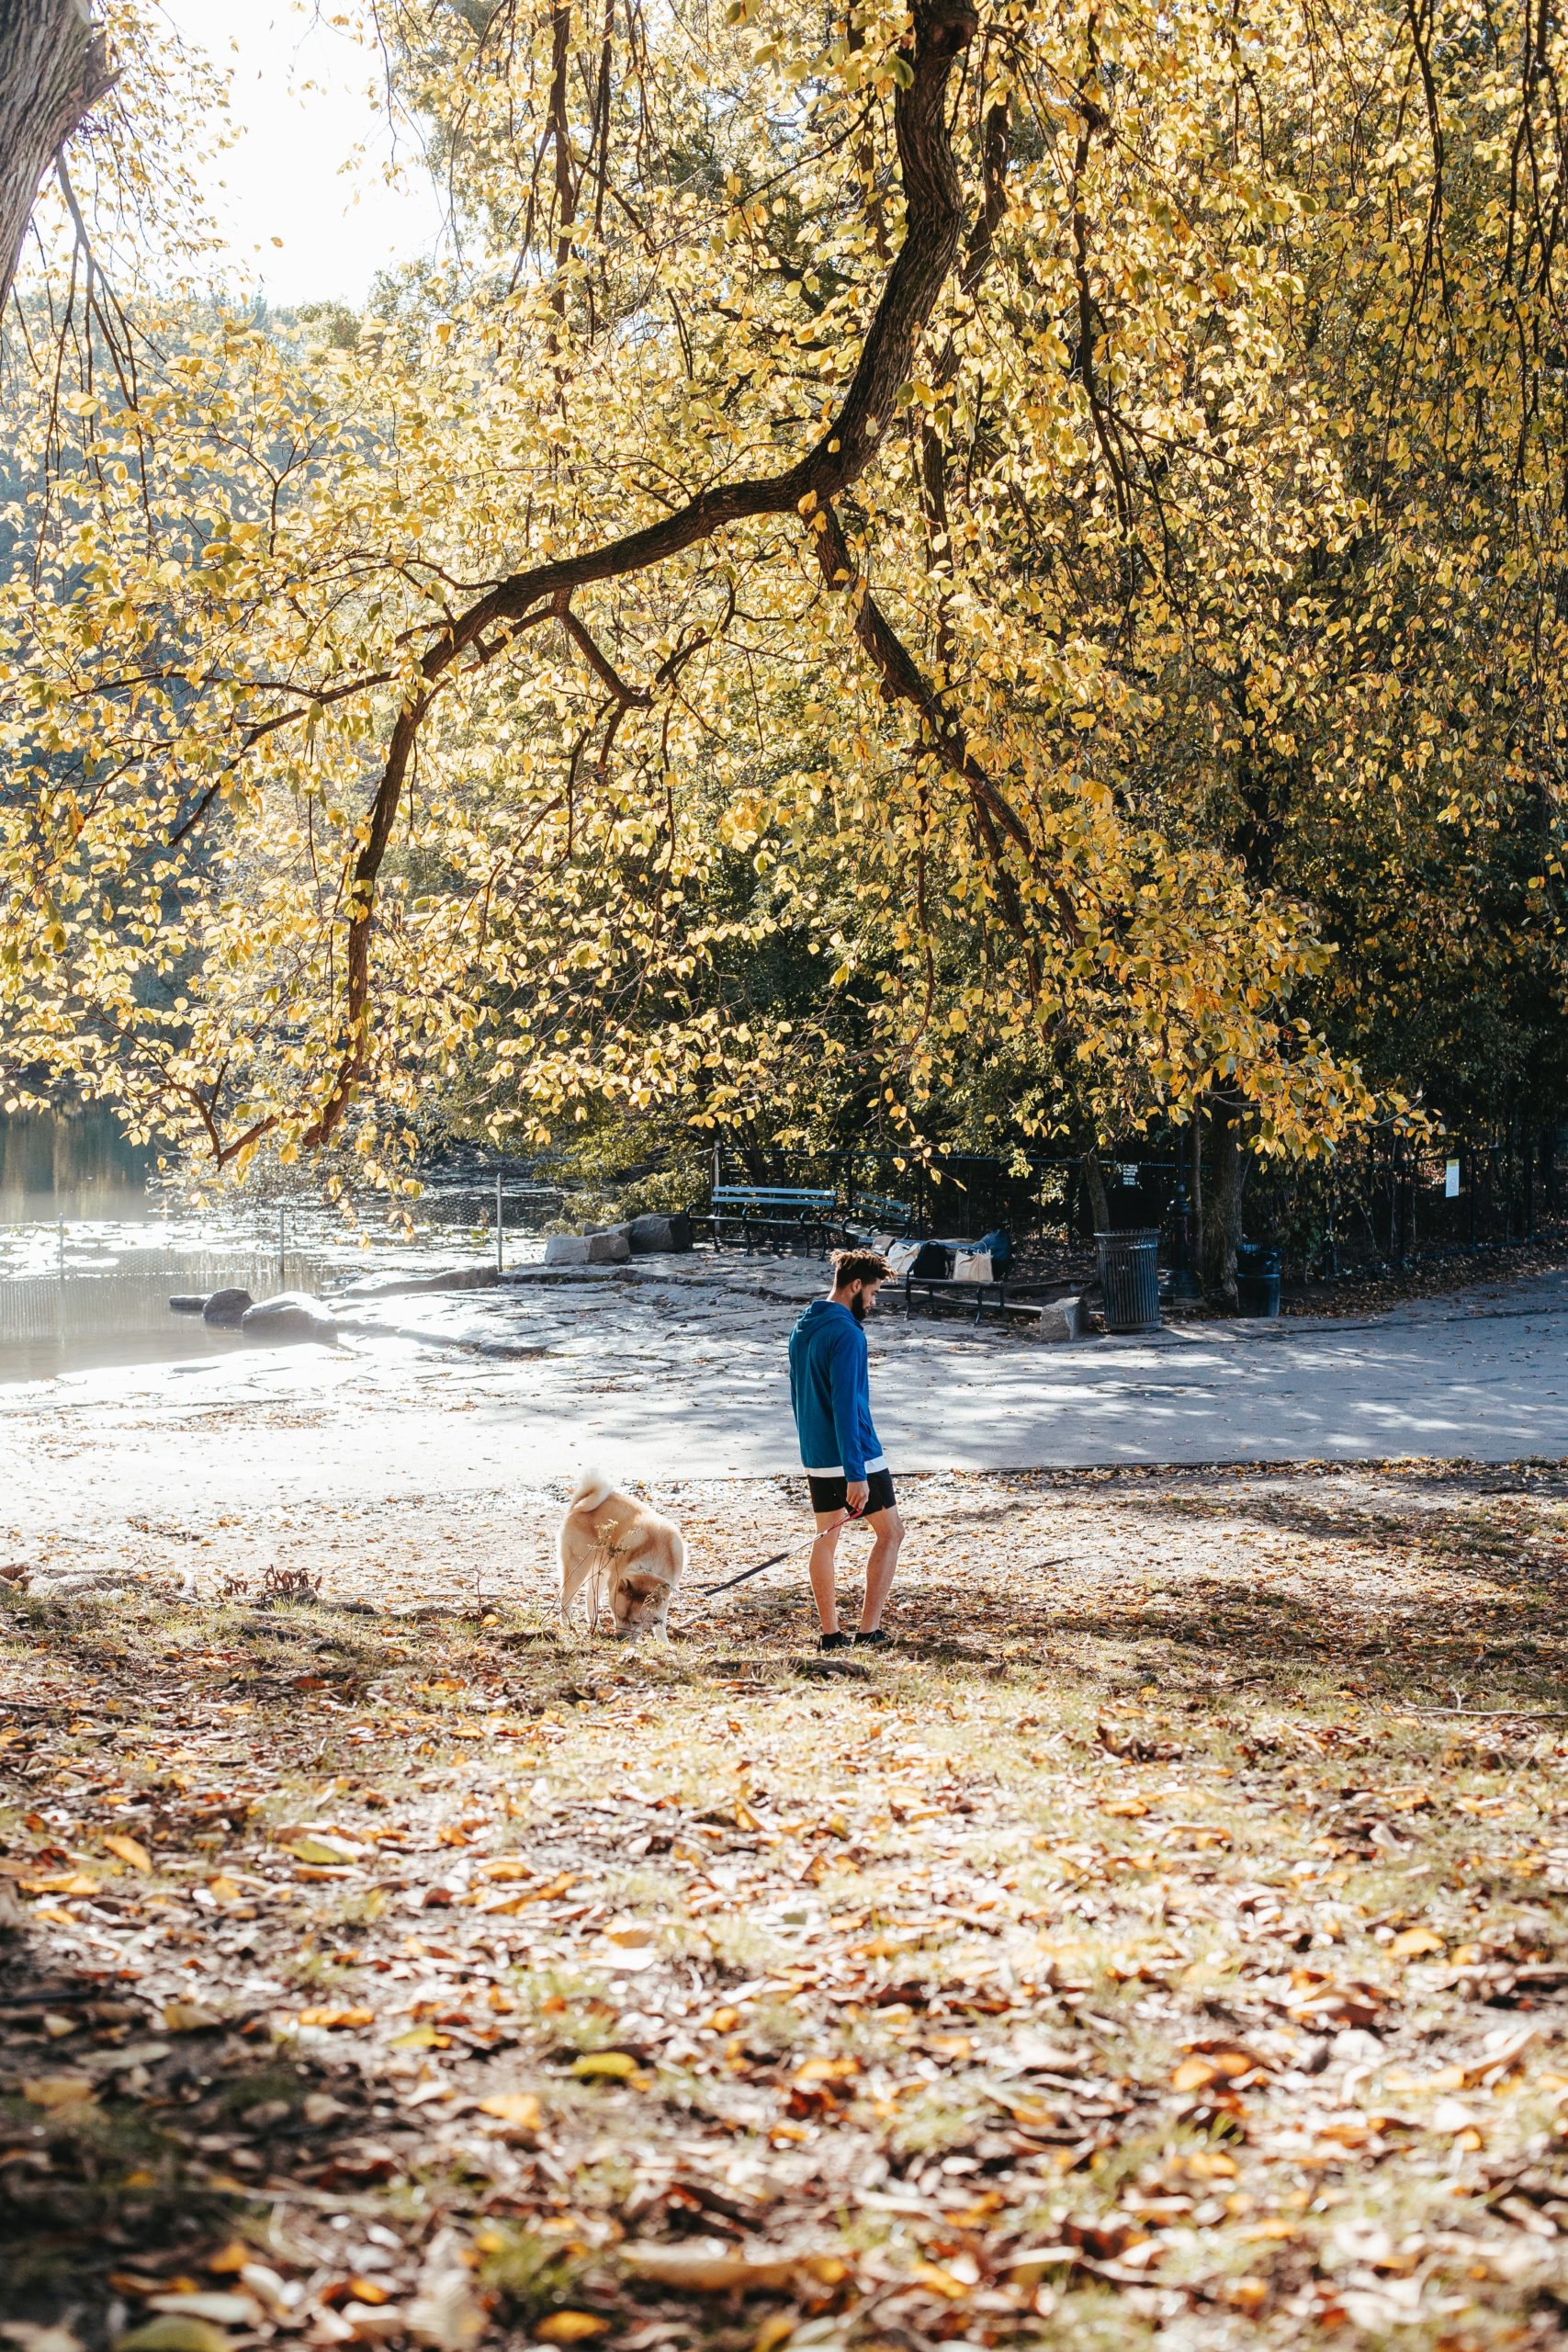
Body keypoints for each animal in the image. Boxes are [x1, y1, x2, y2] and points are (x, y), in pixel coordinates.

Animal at [561, 1467, 691, 1636]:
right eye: (619, 1616)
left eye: (636, 1622)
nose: (620, 1639)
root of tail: (579, 1503)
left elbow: (660, 1623)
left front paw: (663, 1641)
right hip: (578, 1569)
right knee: (566, 1598)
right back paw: (567, 1625)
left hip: (600, 1571)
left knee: (590, 1597)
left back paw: (595, 1625)